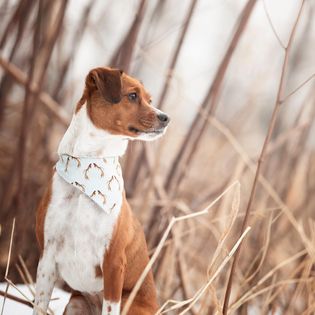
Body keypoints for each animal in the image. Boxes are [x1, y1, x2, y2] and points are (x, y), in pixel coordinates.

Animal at [33, 67, 169, 315]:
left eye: (150, 100)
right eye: (132, 95)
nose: (166, 118)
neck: (90, 161)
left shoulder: (113, 263)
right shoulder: (47, 256)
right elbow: (39, 306)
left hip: (128, 304)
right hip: (76, 303)